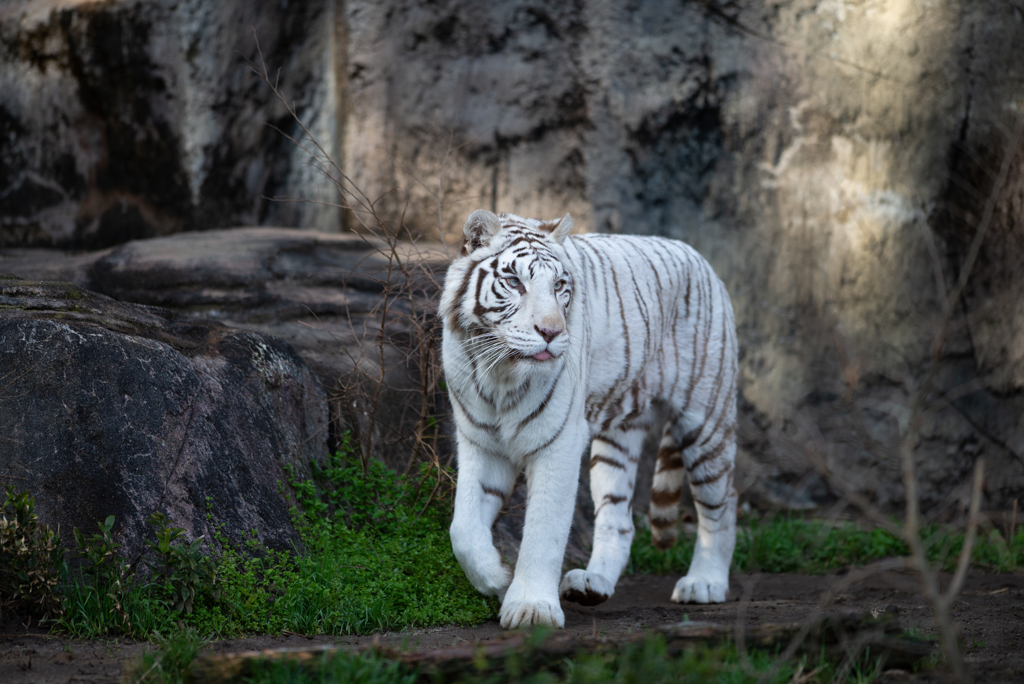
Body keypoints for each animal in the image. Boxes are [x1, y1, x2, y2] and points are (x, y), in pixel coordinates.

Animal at [440, 209, 737, 630]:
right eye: (514, 282)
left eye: (559, 285)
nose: (551, 332)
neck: (500, 370)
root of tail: (698, 256)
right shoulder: (480, 441)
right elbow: (463, 530)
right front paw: (498, 577)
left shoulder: (558, 442)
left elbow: (544, 531)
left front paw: (531, 608)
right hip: (617, 438)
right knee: (619, 518)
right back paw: (592, 584)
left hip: (706, 418)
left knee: (721, 505)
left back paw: (705, 583)